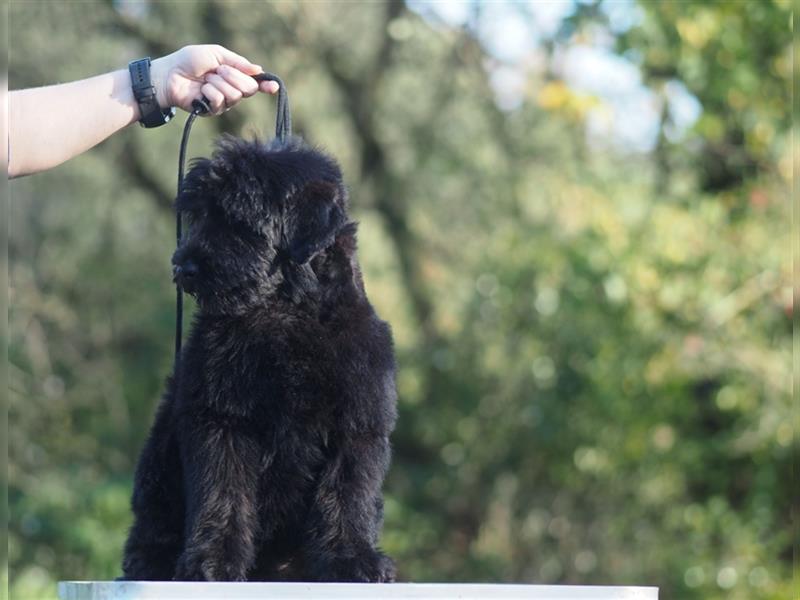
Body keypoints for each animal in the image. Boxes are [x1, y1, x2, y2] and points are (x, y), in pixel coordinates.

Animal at [121, 136, 396, 580]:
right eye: (199, 214)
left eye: (238, 218)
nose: (183, 267)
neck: (284, 313)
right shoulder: (221, 418)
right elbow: (223, 492)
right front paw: (212, 561)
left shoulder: (357, 423)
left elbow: (348, 495)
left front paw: (353, 558)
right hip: (158, 462)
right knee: (152, 522)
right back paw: (149, 563)